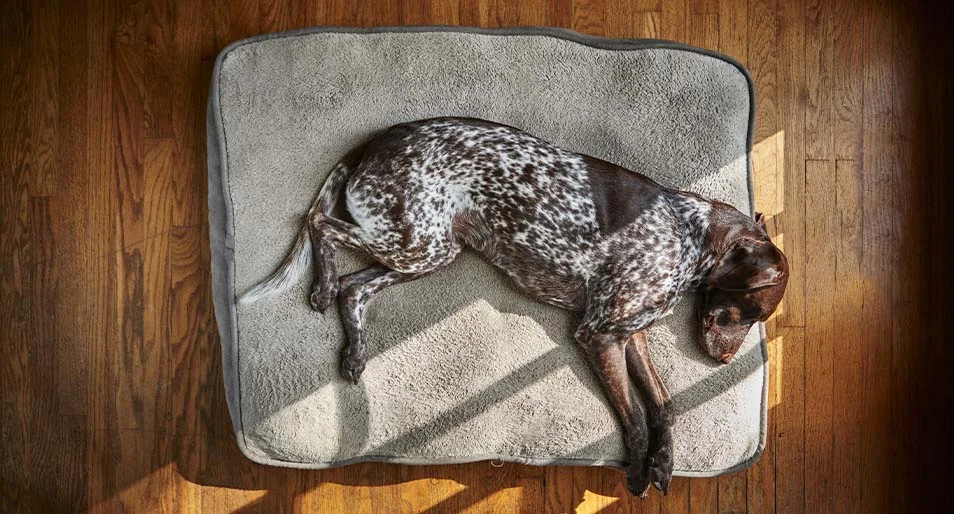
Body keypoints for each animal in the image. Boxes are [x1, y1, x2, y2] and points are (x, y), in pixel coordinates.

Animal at [240, 117, 788, 496]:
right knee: (319, 225)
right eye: (749, 314)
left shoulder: (630, 335)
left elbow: (665, 406)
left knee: (353, 288)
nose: (724, 362)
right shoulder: (599, 335)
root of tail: (375, 142)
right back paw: (321, 284)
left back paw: (353, 351)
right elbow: (634, 417)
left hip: (427, 250)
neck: (687, 234)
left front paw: (663, 464)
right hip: (415, 242)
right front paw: (637, 471)